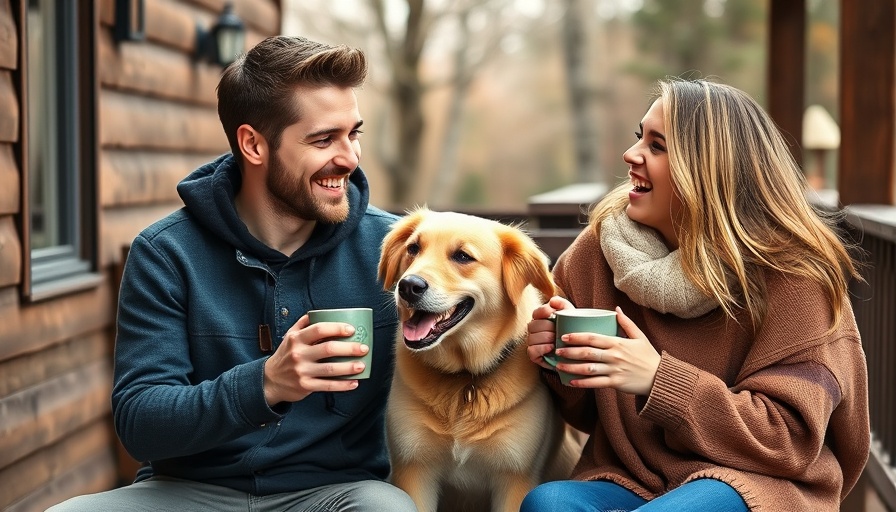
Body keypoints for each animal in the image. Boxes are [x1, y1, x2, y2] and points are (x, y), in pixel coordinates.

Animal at [374, 207, 576, 512]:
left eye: (462, 256)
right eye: (413, 249)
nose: (408, 286)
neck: (465, 380)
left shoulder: (514, 478)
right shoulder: (415, 469)